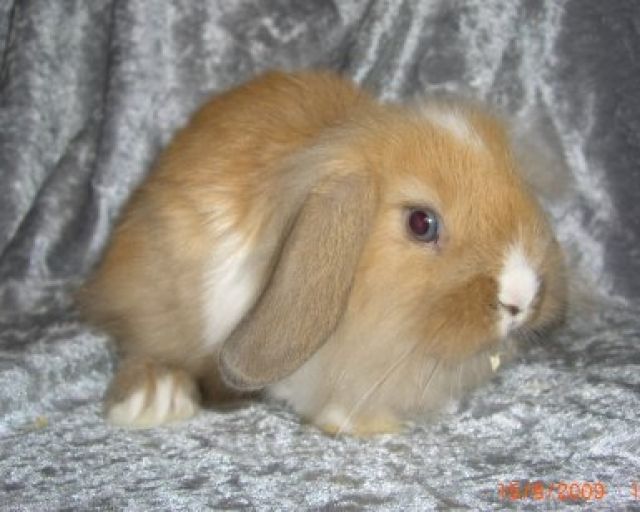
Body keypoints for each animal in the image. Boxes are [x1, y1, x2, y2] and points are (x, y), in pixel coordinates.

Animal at [79, 70, 567, 435]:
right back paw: (154, 399)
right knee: (144, 341)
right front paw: (367, 425)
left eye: (520, 187)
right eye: (421, 223)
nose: (522, 297)